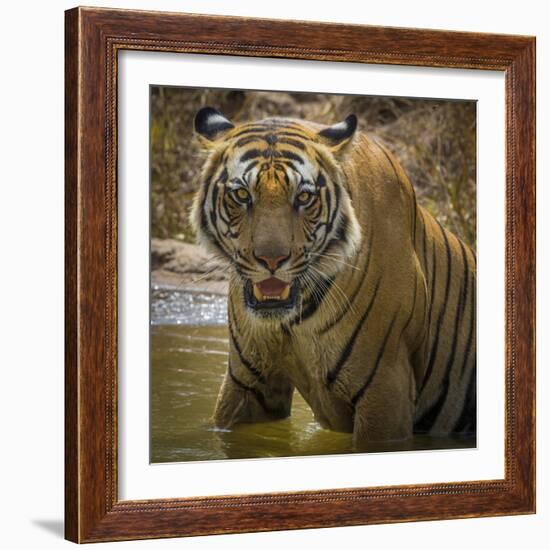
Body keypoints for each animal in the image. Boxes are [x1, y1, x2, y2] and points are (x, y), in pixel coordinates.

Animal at [192, 105, 476, 450]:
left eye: (303, 198)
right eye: (242, 194)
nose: (271, 260)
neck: (293, 320)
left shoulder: (385, 389)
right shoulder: (246, 383)